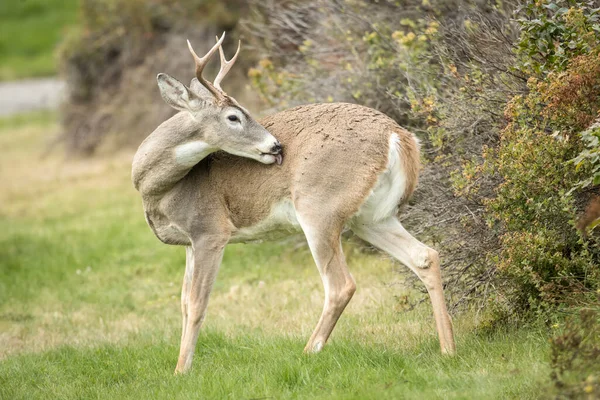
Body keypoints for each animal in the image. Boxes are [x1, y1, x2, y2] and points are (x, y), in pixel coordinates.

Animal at [131, 32, 454, 374]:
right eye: (233, 116)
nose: (276, 146)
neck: (160, 189)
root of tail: (399, 137)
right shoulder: (190, 243)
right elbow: (182, 302)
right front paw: (182, 366)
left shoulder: (211, 230)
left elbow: (196, 304)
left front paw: (181, 370)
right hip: (371, 217)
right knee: (425, 256)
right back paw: (448, 349)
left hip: (319, 205)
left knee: (341, 285)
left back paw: (307, 352)